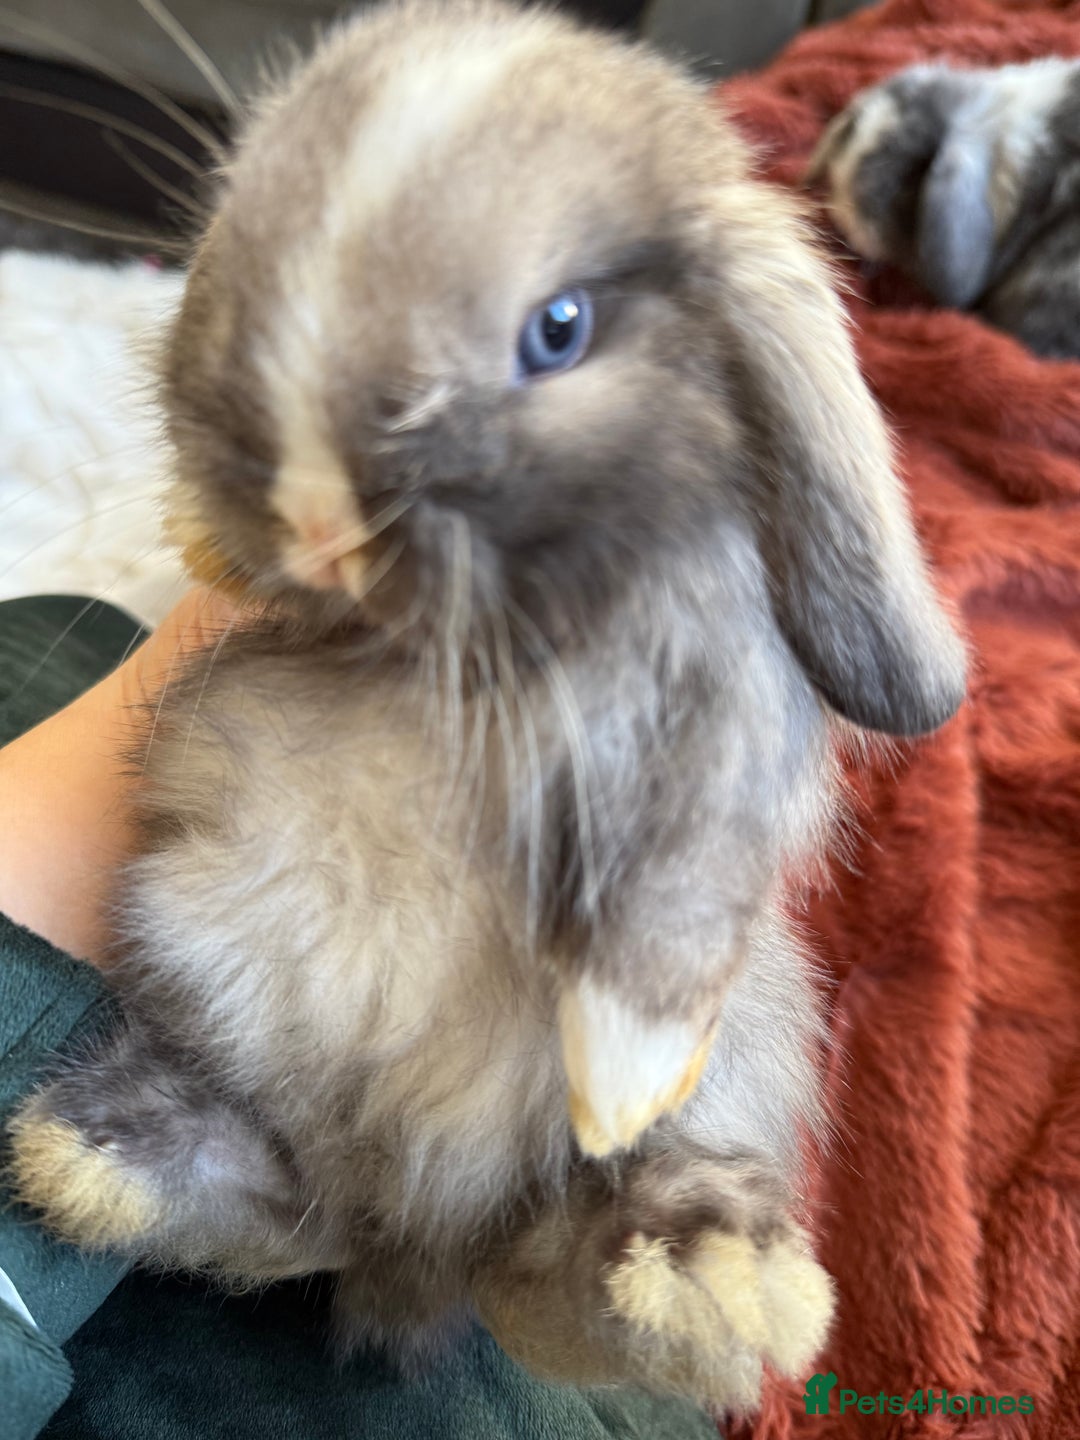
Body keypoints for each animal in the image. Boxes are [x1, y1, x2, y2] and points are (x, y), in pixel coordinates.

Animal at [7, 0, 966, 1415]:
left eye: (556, 329)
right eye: (241, 240)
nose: (315, 515)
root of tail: (409, 1235)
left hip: (736, 1054)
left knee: (550, 1278)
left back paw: (713, 1282)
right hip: (214, 965)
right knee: (285, 1217)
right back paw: (98, 1153)